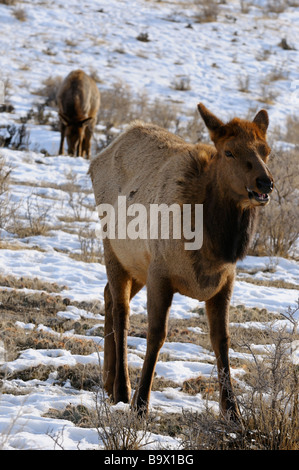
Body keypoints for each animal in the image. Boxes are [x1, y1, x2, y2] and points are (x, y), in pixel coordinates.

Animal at [88, 104, 274, 420]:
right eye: (229, 152)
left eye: (266, 150)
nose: (265, 182)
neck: (211, 249)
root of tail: (95, 159)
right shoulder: (160, 274)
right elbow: (156, 335)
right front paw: (141, 403)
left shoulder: (225, 282)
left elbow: (222, 340)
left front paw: (232, 411)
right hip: (113, 248)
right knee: (121, 311)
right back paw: (123, 389)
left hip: (135, 264)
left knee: (107, 296)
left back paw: (108, 381)